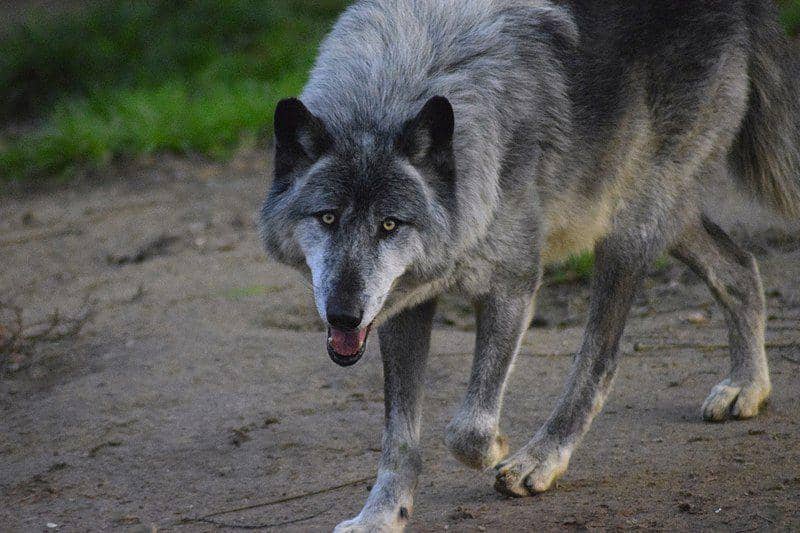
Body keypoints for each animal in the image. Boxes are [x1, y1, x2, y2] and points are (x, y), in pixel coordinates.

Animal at [260, 0, 800, 530]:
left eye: (389, 225)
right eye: (328, 217)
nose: (343, 315)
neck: (395, 87)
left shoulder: (514, 283)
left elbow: (469, 430)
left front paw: (496, 448)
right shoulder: (403, 303)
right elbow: (399, 437)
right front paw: (381, 516)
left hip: (628, 229)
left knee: (601, 359)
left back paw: (540, 460)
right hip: (650, 213)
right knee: (740, 268)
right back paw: (748, 387)